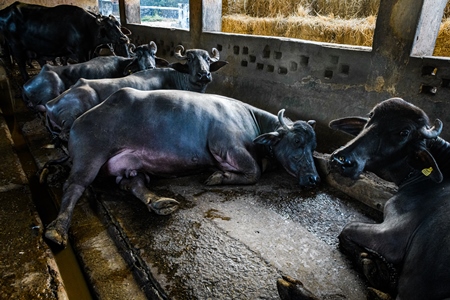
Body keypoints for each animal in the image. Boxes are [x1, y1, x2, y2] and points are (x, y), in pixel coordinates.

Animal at [0, 1, 130, 81]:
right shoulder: (79, 52)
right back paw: (26, 79)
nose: (124, 38)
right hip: (16, 47)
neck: (87, 27)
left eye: (118, 24)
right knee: (21, 64)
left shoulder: (89, 51)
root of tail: (5, 11)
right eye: (108, 27)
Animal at [44, 46, 229, 142]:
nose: (204, 74)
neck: (178, 79)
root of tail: (50, 104)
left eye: (207, 59)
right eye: (190, 59)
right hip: (71, 116)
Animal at [44, 88, 320, 248]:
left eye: (313, 144)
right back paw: (57, 230)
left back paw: (160, 203)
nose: (314, 179)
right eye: (297, 141)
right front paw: (217, 176)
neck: (251, 120)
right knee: (74, 186)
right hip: (90, 156)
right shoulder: (227, 145)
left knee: (133, 184)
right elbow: (254, 172)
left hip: (131, 165)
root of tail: (77, 121)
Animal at [282, 97, 450, 298]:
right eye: (371, 117)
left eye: (404, 132)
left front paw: (375, 268)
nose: (341, 161)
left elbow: (347, 229)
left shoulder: (392, 237)